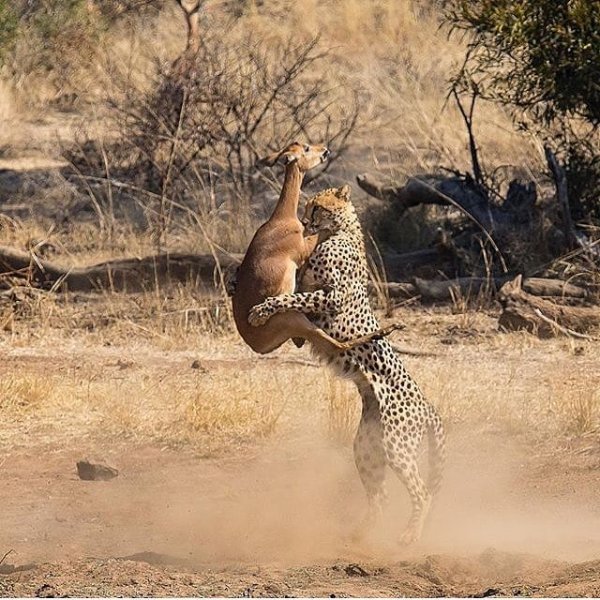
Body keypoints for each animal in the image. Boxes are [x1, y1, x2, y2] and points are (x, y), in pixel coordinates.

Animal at [248, 184, 446, 544]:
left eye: (316, 207)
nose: (305, 221)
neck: (339, 230)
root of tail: (427, 406)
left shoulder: (332, 296)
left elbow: (293, 297)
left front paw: (261, 310)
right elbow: (297, 295)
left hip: (397, 444)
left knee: (422, 492)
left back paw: (409, 535)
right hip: (367, 446)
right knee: (380, 496)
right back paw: (359, 535)